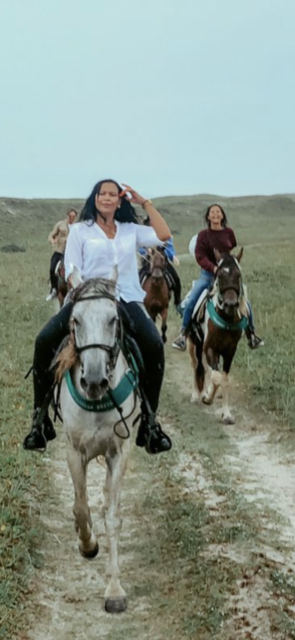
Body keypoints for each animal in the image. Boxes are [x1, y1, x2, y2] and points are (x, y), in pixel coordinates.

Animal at [55, 278, 141, 612]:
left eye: (113, 319)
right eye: (75, 320)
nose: (93, 380)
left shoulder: (119, 453)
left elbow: (113, 516)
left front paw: (115, 590)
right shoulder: (73, 451)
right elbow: (80, 506)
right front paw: (88, 544)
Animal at [188, 250, 249, 424]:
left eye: (238, 274)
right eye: (220, 275)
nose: (231, 304)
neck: (226, 319)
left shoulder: (229, 352)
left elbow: (224, 380)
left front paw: (227, 414)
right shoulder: (210, 348)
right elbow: (216, 378)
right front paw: (207, 398)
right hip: (193, 345)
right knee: (196, 366)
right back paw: (196, 395)